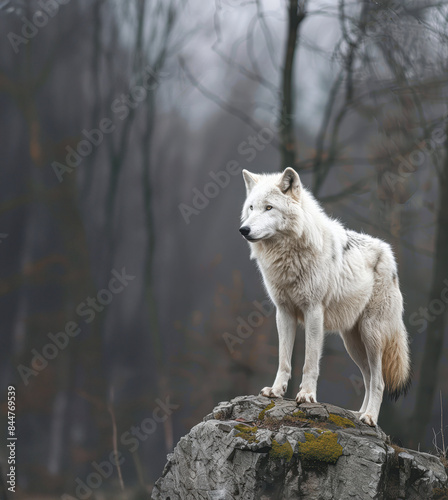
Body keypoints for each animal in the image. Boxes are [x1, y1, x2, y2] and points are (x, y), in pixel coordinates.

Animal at [240, 168, 412, 426]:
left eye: (269, 207)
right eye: (251, 207)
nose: (244, 230)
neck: (289, 255)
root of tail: (390, 256)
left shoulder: (313, 312)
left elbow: (310, 361)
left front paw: (307, 395)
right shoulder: (284, 312)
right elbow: (284, 359)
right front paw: (276, 391)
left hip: (372, 334)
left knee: (379, 380)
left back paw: (370, 417)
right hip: (353, 343)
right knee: (368, 377)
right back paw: (358, 414)